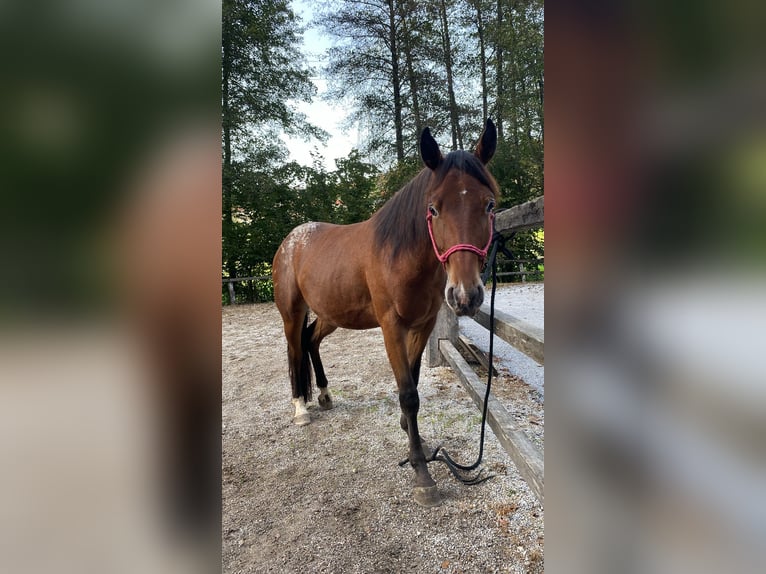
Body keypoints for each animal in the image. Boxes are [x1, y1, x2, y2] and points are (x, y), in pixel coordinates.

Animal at [272, 119, 498, 506]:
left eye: (489, 204)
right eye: (433, 208)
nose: (465, 296)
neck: (400, 255)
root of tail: (291, 240)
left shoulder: (421, 326)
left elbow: (414, 382)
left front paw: (413, 438)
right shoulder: (392, 327)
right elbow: (407, 394)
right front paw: (422, 473)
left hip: (331, 314)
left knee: (311, 341)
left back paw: (325, 395)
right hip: (292, 311)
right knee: (294, 350)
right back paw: (301, 407)